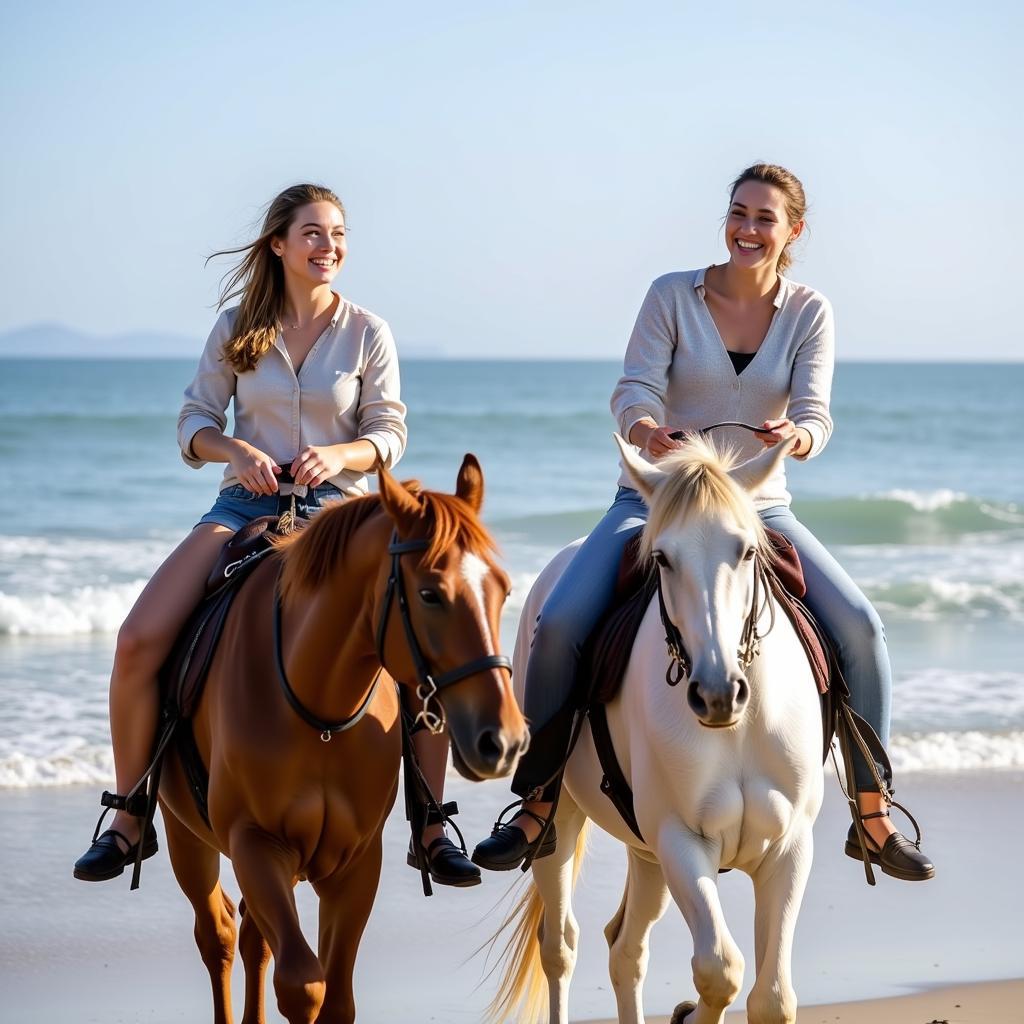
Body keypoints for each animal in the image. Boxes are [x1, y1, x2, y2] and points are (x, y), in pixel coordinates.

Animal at [159, 458, 528, 1024]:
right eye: (430, 594)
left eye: (503, 590)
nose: (504, 740)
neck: (320, 712)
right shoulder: (255, 844)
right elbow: (303, 986)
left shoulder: (355, 864)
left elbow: (336, 998)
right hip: (186, 836)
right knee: (217, 932)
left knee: (251, 936)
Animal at [487, 436, 823, 1024]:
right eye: (663, 558)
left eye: (747, 552)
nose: (717, 692)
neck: (738, 728)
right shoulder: (681, 841)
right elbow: (720, 970)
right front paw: (691, 1012)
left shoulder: (787, 847)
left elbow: (772, 998)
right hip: (564, 822)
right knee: (560, 946)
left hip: (646, 857)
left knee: (625, 948)